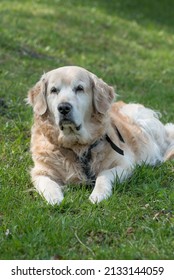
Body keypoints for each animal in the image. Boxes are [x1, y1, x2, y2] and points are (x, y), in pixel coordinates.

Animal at [27, 66, 174, 205]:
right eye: (53, 90)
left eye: (79, 88)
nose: (63, 108)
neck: (77, 146)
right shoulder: (40, 171)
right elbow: (47, 183)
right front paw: (54, 198)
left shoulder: (124, 164)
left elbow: (103, 174)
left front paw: (98, 195)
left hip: (145, 124)